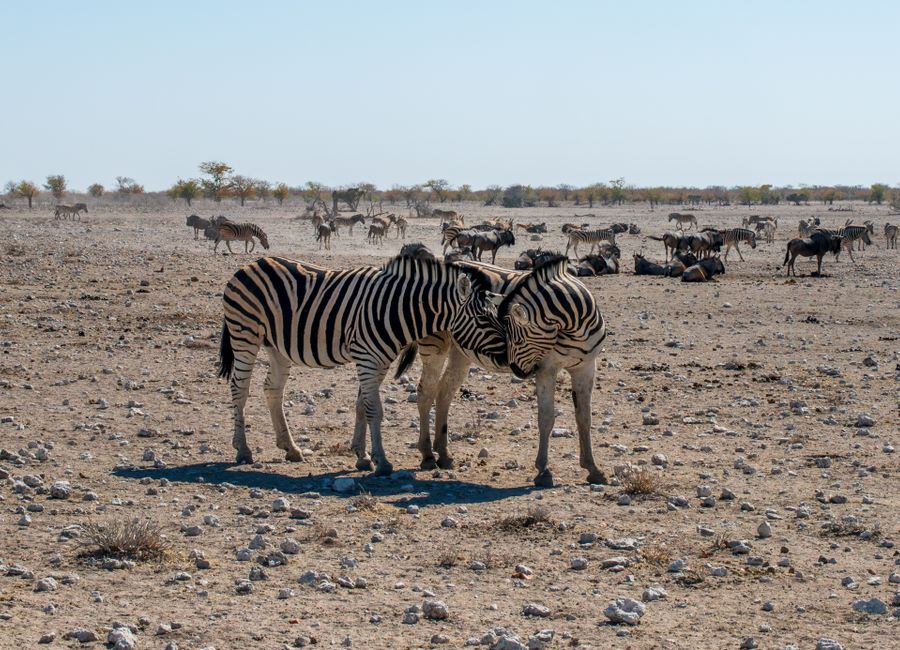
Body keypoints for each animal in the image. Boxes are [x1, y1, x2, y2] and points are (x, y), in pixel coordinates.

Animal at [217, 253, 505, 475]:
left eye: (494, 315)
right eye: (483, 318)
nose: (505, 355)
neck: (397, 309)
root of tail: (251, 264)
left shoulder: (380, 361)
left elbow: (361, 405)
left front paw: (362, 456)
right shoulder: (367, 358)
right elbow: (374, 410)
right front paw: (382, 462)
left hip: (277, 346)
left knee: (273, 390)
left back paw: (291, 448)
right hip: (245, 335)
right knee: (239, 389)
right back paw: (243, 450)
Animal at [402, 253, 608, 487]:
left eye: (516, 339)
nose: (517, 370)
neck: (575, 327)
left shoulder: (586, 367)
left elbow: (585, 418)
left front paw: (593, 469)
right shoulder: (547, 369)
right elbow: (546, 418)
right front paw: (544, 471)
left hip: (461, 351)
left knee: (444, 392)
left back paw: (444, 454)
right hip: (434, 346)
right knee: (425, 393)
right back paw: (427, 455)